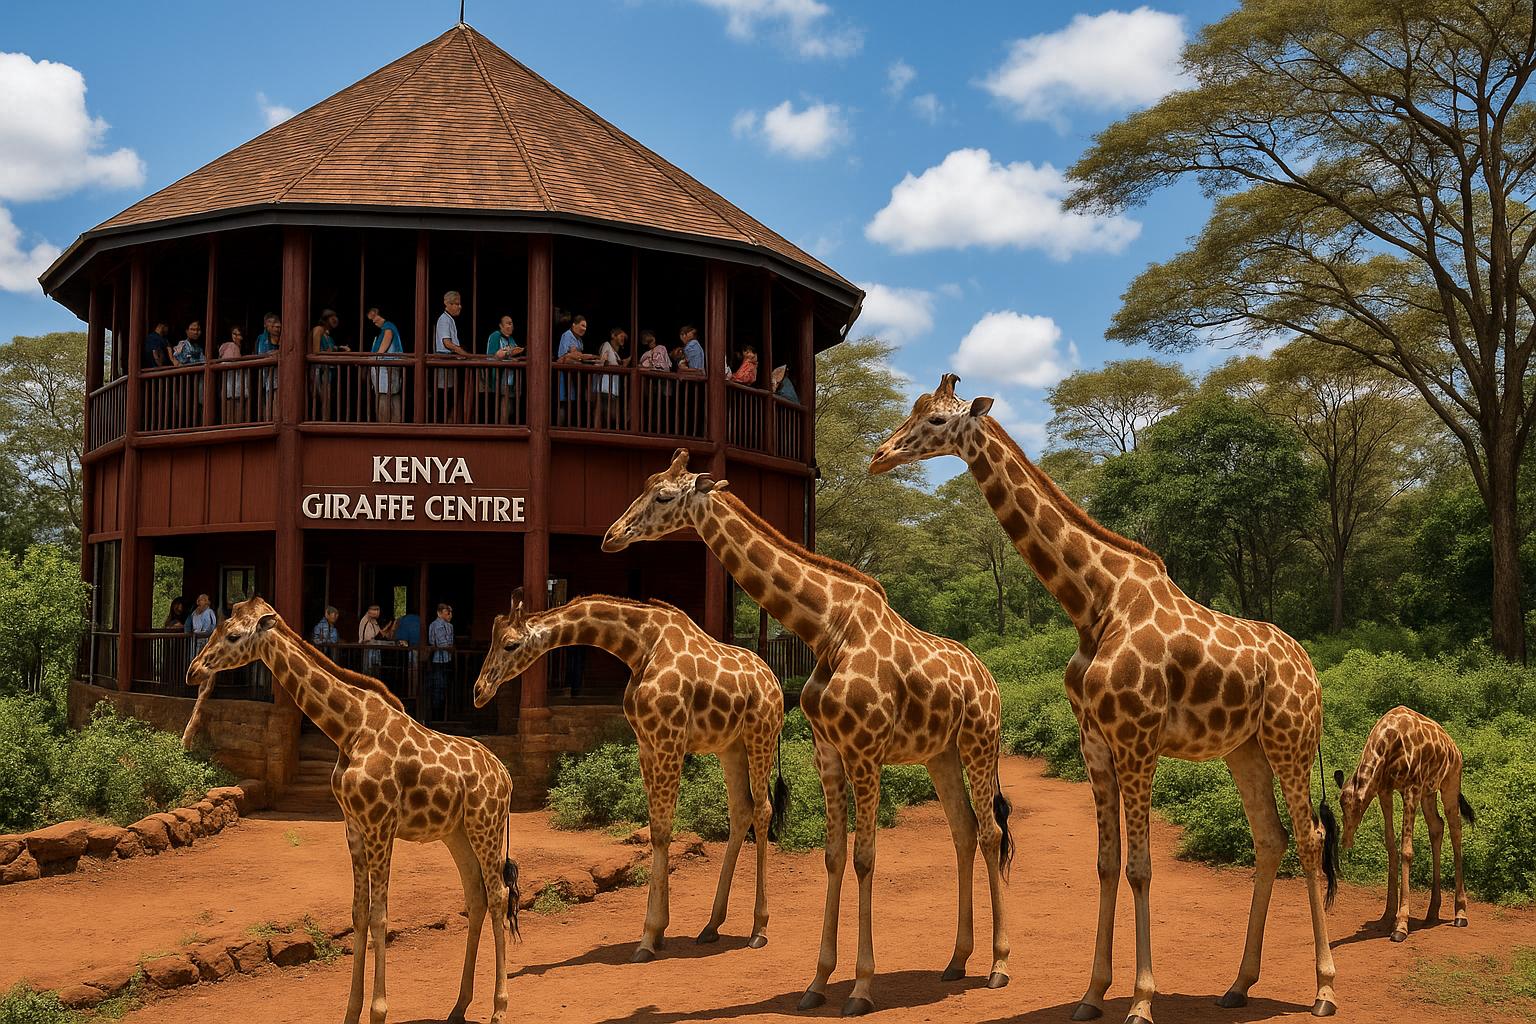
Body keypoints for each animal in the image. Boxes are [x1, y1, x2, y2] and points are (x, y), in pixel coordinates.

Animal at [182, 598, 519, 1024]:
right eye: (216, 628)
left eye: (233, 635)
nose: (194, 671)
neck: (348, 729)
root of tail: (505, 776)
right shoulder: (354, 828)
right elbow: (359, 913)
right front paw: (351, 1011)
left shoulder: (380, 826)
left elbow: (380, 916)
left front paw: (378, 1011)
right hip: (456, 833)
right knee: (476, 897)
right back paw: (458, 1007)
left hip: (485, 825)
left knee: (498, 894)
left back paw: (499, 1008)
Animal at [472, 591, 789, 962]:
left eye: (511, 644)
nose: (479, 691)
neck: (640, 647)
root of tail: (775, 682)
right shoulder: (646, 744)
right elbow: (655, 830)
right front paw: (657, 933)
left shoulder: (668, 739)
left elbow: (663, 833)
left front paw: (649, 937)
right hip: (730, 746)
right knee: (741, 811)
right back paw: (711, 926)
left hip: (759, 734)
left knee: (763, 809)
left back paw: (759, 928)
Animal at [601, 448, 1014, 1016]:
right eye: (644, 484)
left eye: (663, 496)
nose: (611, 535)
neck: (827, 629)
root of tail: (990, 679)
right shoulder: (829, 753)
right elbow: (834, 856)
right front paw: (816, 984)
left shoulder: (865, 751)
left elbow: (864, 858)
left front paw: (861, 988)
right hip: (941, 755)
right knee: (964, 832)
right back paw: (955, 961)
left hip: (979, 743)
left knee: (991, 833)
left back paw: (998, 965)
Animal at [869, 374, 1340, 1023]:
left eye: (937, 420)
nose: (879, 455)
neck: (1094, 603)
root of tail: (1311, 670)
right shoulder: (1094, 741)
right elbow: (1107, 864)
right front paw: (1093, 994)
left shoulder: (1137, 738)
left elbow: (1141, 867)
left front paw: (1140, 1000)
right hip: (1243, 748)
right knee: (1270, 840)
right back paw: (1239, 985)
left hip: (1290, 737)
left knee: (1312, 836)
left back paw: (1323, 989)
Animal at [1335, 705, 1473, 942]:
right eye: (1341, 807)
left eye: (1356, 808)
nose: (1345, 842)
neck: (1389, 741)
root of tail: (1454, 746)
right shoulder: (1385, 790)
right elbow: (1391, 846)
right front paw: (1387, 916)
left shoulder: (1411, 788)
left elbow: (1407, 851)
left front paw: (1401, 925)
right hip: (1429, 791)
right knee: (1437, 826)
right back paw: (1432, 913)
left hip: (1450, 783)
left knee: (1456, 830)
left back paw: (1460, 914)